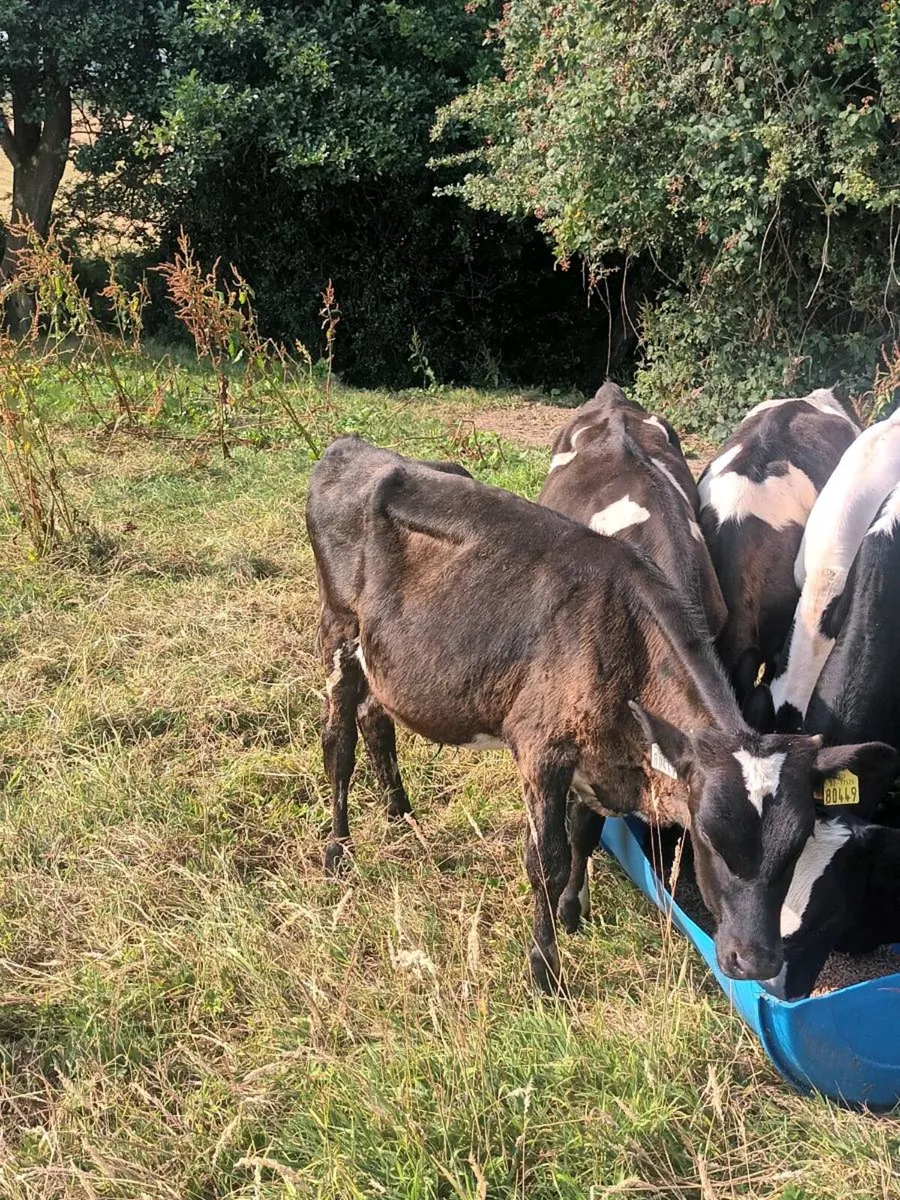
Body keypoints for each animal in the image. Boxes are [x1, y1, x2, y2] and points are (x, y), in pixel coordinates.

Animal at [306, 434, 893, 992]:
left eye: (796, 845)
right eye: (707, 837)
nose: (756, 961)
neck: (626, 638)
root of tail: (351, 448)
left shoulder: (600, 755)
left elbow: (584, 834)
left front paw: (572, 915)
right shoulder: (541, 748)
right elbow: (547, 859)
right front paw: (545, 972)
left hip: (383, 658)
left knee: (376, 721)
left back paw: (401, 817)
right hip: (337, 632)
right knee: (339, 744)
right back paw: (337, 850)